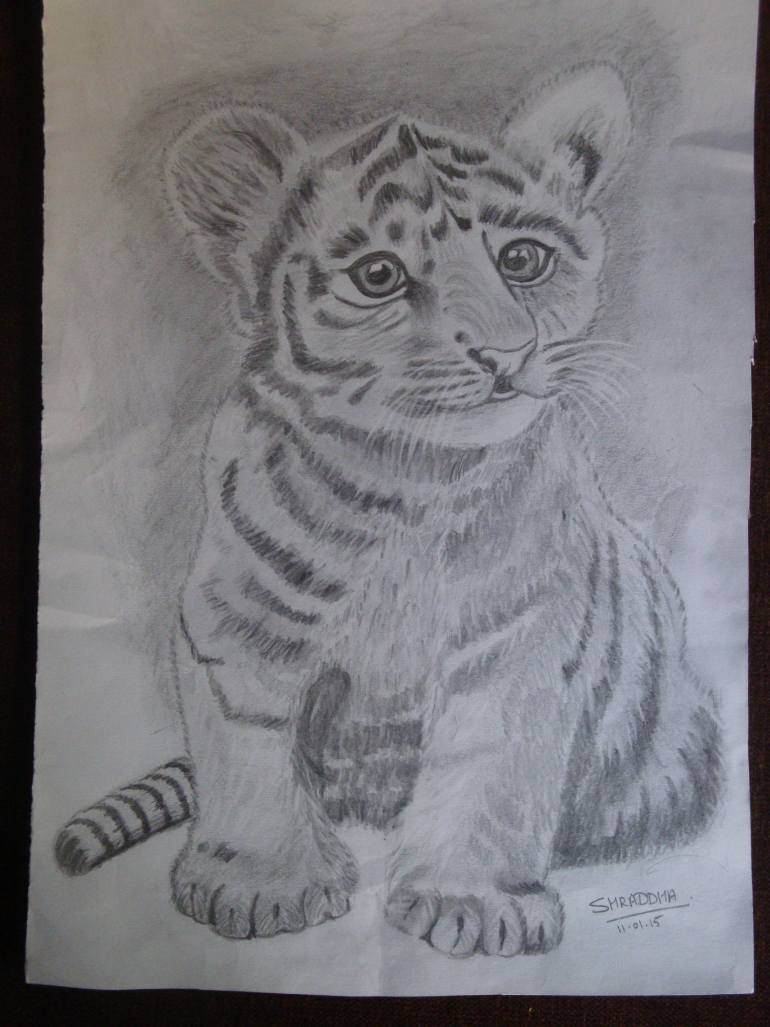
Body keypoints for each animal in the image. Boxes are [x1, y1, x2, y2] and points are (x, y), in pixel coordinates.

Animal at [55, 63, 722, 959]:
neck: (412, 479)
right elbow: (249, 758)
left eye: (523, 258)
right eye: (378, 276)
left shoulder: (519, 642)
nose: (505, 352)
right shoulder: (239, 628)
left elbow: (490, 768)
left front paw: (473, 903)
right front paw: (259, 882)